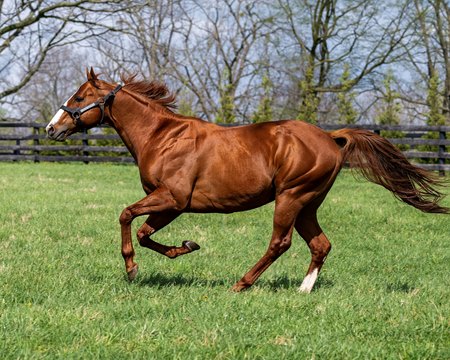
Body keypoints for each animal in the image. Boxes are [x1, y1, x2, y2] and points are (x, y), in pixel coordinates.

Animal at [44, 69, 446, 292]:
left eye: (78, 97)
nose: (51, 128)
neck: (162, 136)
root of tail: (331, 137)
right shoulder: (171, 204)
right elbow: (145, 233)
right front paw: (187, 246)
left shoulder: (172, 198)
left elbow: (127, 217)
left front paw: (131, 269)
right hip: (308, 204)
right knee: (320, 245)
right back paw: (303, 291)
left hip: (291, 198)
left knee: (280, 243)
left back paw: (242, 283)